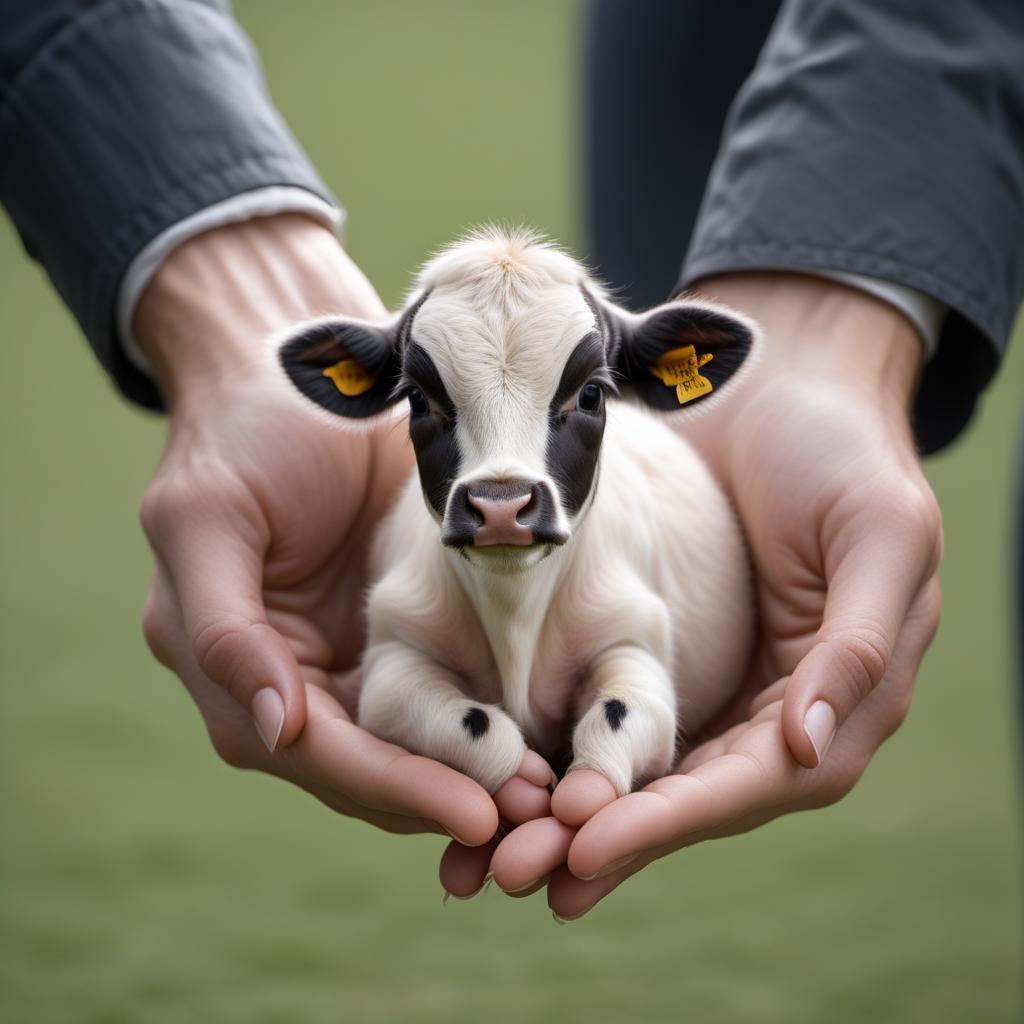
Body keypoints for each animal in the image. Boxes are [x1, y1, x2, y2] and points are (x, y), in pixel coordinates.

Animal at [276, 230, 757, 798]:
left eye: (591, 393)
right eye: (416, 399)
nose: (501, 508)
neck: (515, 619)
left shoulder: (634, 637)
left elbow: (621, 714)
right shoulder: (394, 657)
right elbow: (470, 722)